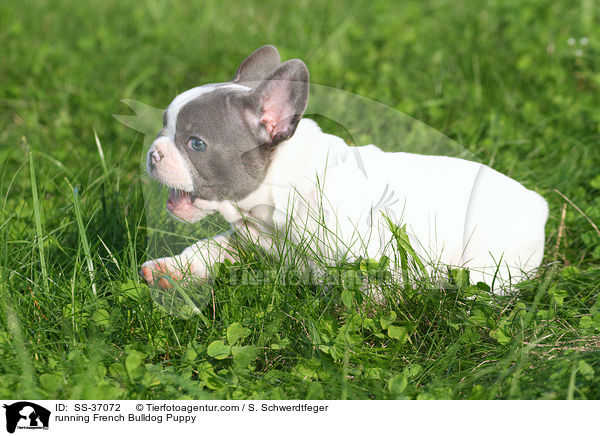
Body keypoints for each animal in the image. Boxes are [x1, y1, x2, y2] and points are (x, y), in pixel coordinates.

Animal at [142, 45, 548, 292]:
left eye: (196, 144)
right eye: (164, 126)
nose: (153, 153)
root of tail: (537, 204)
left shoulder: (365, 251)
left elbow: (367, 288)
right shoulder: (247, 242)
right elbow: (206, 249)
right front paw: (169, 269)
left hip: (488, 263)